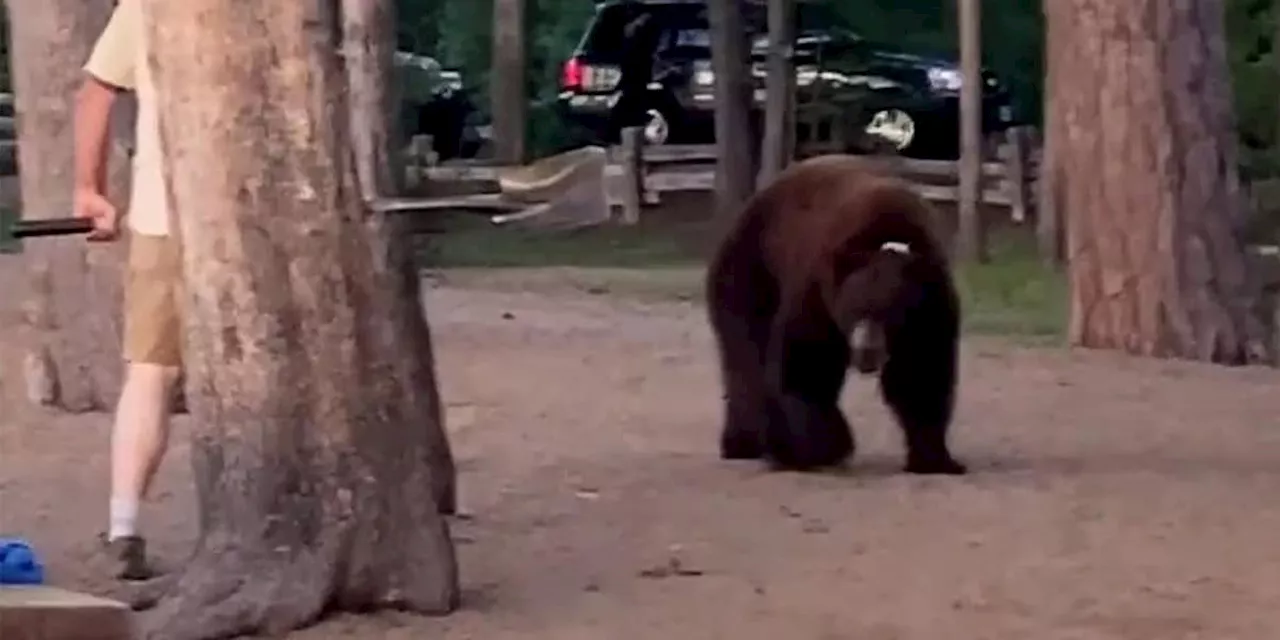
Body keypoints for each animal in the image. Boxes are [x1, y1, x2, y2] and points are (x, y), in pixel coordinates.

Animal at [706, 155, 962, 476]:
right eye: (857, 309)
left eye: (891, 313)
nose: (867, 352)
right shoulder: (817, 290)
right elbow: (806, 361)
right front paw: (820, 447)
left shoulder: (930, 305)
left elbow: (922, 372)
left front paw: (935, 458)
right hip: (752, 271)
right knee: (747, 353)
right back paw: (749, 442)